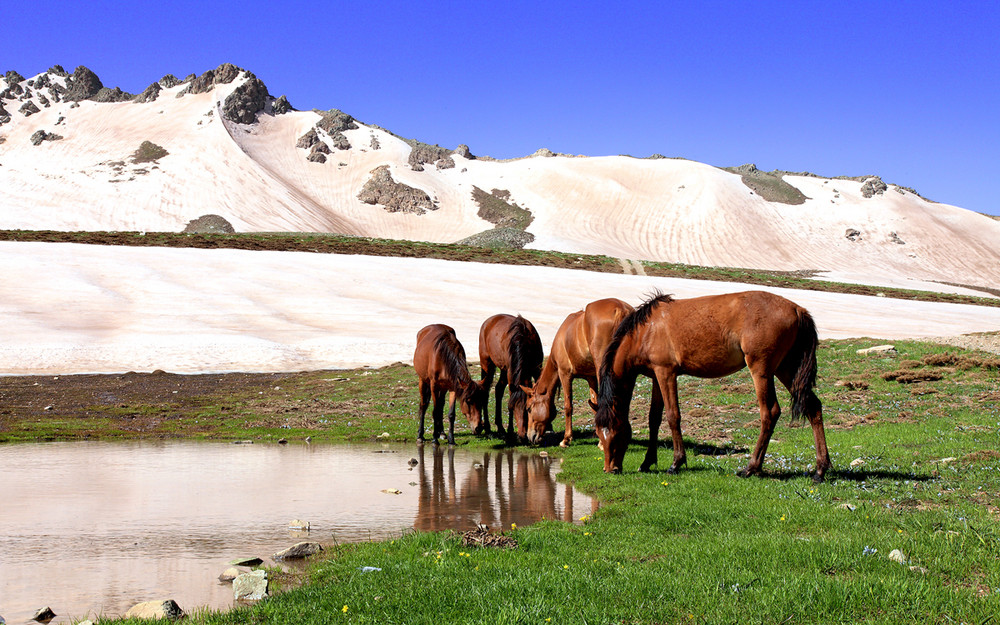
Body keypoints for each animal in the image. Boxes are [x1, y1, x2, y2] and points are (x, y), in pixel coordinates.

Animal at [524, 296, 632, 446]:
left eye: (529, 408)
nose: (530, 437)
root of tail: (620, 309)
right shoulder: (591, 378)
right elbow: (594, 403)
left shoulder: (565, 374)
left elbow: (568, 406)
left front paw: (566, 439)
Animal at [596, 290, 832, 480]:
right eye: (599, 434)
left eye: (617, 433)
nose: (610, 469)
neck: (645, 331)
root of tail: (797, 309)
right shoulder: (656, 376)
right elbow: (654, 418)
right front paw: (647, 462)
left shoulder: (666, 373)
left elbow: (673, 416)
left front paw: (676, 463)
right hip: (786, 369)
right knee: (813, 407)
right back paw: (820, 470)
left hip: (762, 371)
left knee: (770, 412)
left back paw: (751, 468)